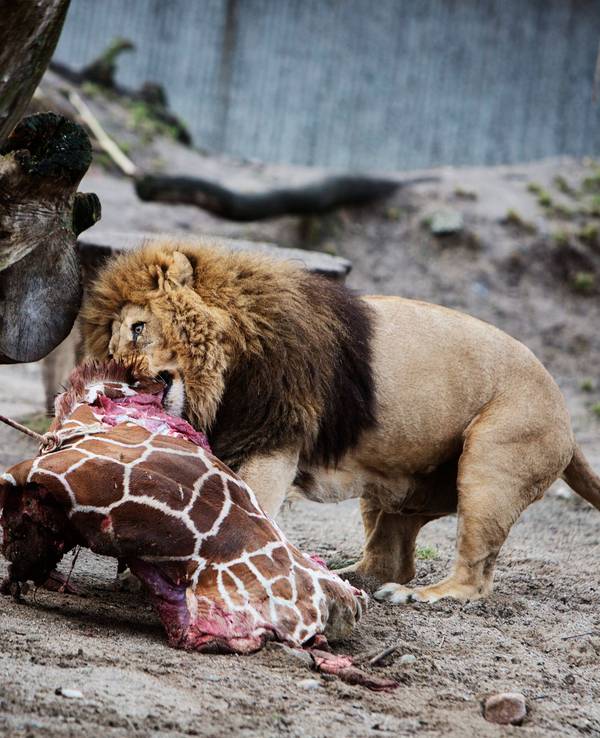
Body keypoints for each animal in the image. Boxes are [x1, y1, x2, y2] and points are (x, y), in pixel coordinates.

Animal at [80, 238, 600, 604]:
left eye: (139, 329)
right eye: (112, 348)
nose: (123, 376)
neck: (226, 370)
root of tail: (567, 419)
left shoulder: (275, 438)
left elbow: (250, 506)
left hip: (492, 464)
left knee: (472, 577)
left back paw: (420, 595)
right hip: (399, 486)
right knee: (390, 559)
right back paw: (344, 576)